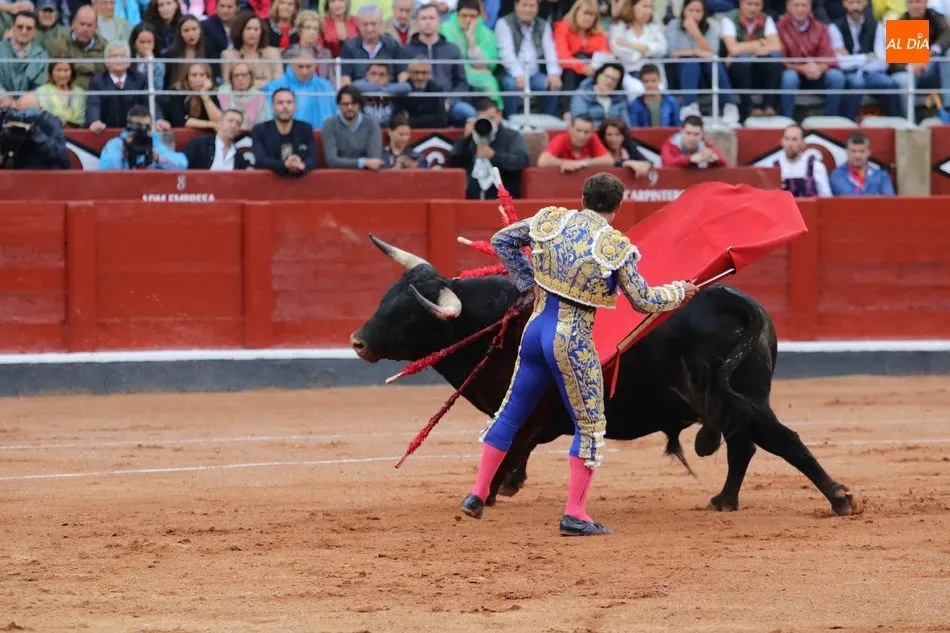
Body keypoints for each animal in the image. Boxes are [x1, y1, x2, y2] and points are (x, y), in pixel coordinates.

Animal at [350, 235, 856, 517]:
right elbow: (517, 446)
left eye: (410, 316)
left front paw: (491, 491)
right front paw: (507, 485)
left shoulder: (526, 404)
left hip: (746, 398)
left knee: (780, 439)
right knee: (745, 445)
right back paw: (725, 501)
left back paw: (839, 498)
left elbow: (509, 440)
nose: (357, 341)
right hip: (737, 398)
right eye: (385, 297)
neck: (495, 321)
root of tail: (737, 301)